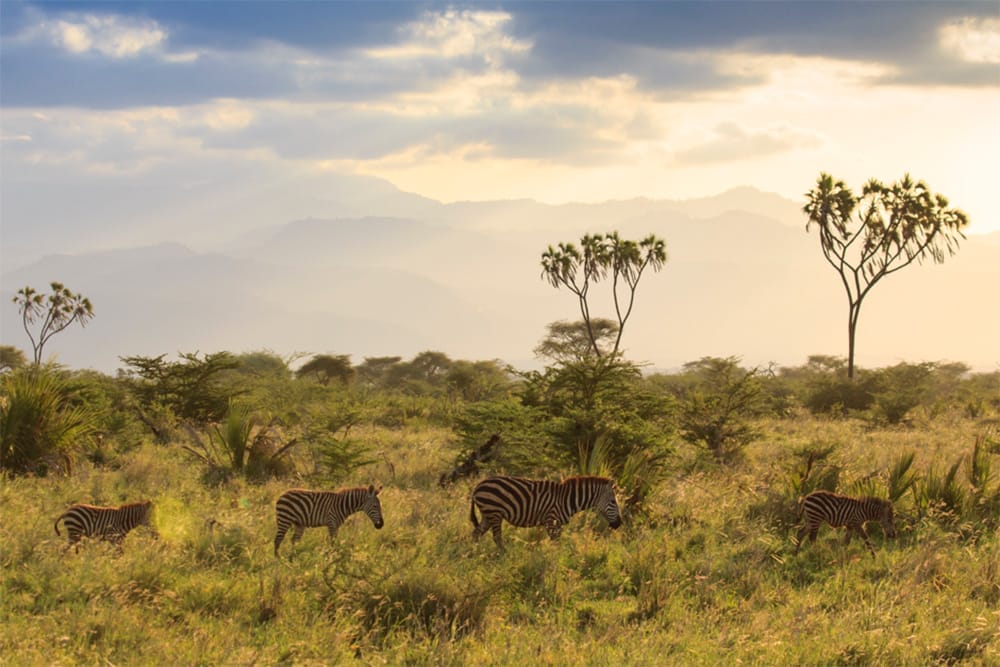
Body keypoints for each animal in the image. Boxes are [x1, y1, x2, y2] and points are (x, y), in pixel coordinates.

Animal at [468, 478, 616, 552]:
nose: (618, 524)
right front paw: (555, 561)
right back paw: (503, 555)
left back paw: (474, 553)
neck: (567, 499)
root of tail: (478, 486)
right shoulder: (551, 521)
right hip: (494, 513)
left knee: (476, 534)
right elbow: (556, 543)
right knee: (497, 537)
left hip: (487, 515)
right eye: (614, 502)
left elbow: (557, 542)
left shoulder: (557, 524)